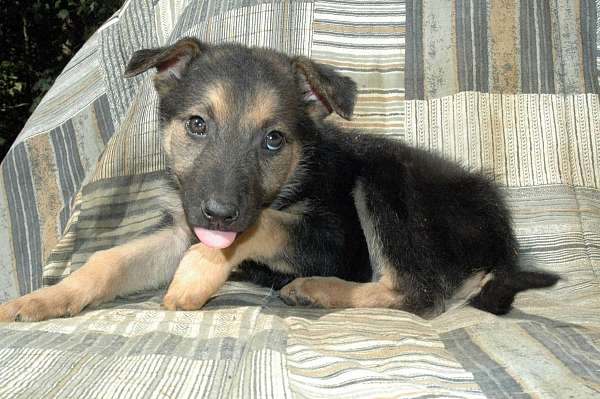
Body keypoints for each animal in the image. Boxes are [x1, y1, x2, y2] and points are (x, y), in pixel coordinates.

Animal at [0, 39, 556, 324]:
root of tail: (503, 234)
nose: (218, 212)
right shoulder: (184, 227)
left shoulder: (334, 239)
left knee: (418, 293)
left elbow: (263, 223)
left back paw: (316, 290)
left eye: (273, 140)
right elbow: (107, 259)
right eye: (197, 125)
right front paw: (46, 298)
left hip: (385, 180)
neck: (296, 174)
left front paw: (197, 275)